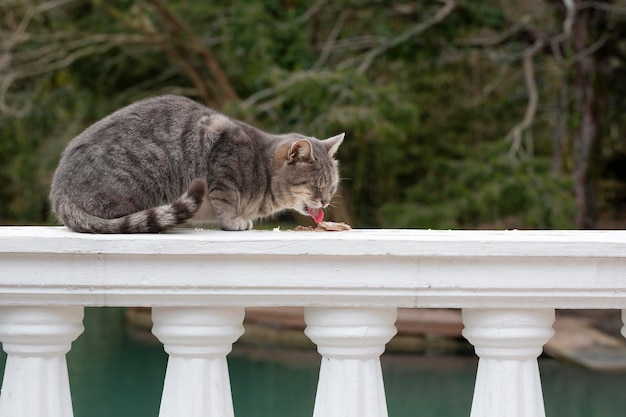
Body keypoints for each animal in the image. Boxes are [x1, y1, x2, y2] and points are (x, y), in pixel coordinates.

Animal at [49, 94, 344, 232]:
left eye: (331, 187)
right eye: (316, 184)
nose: (325, 202)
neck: (262, 167)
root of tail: (59, 190)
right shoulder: (223, 171)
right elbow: (225, 202)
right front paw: (233, 221)